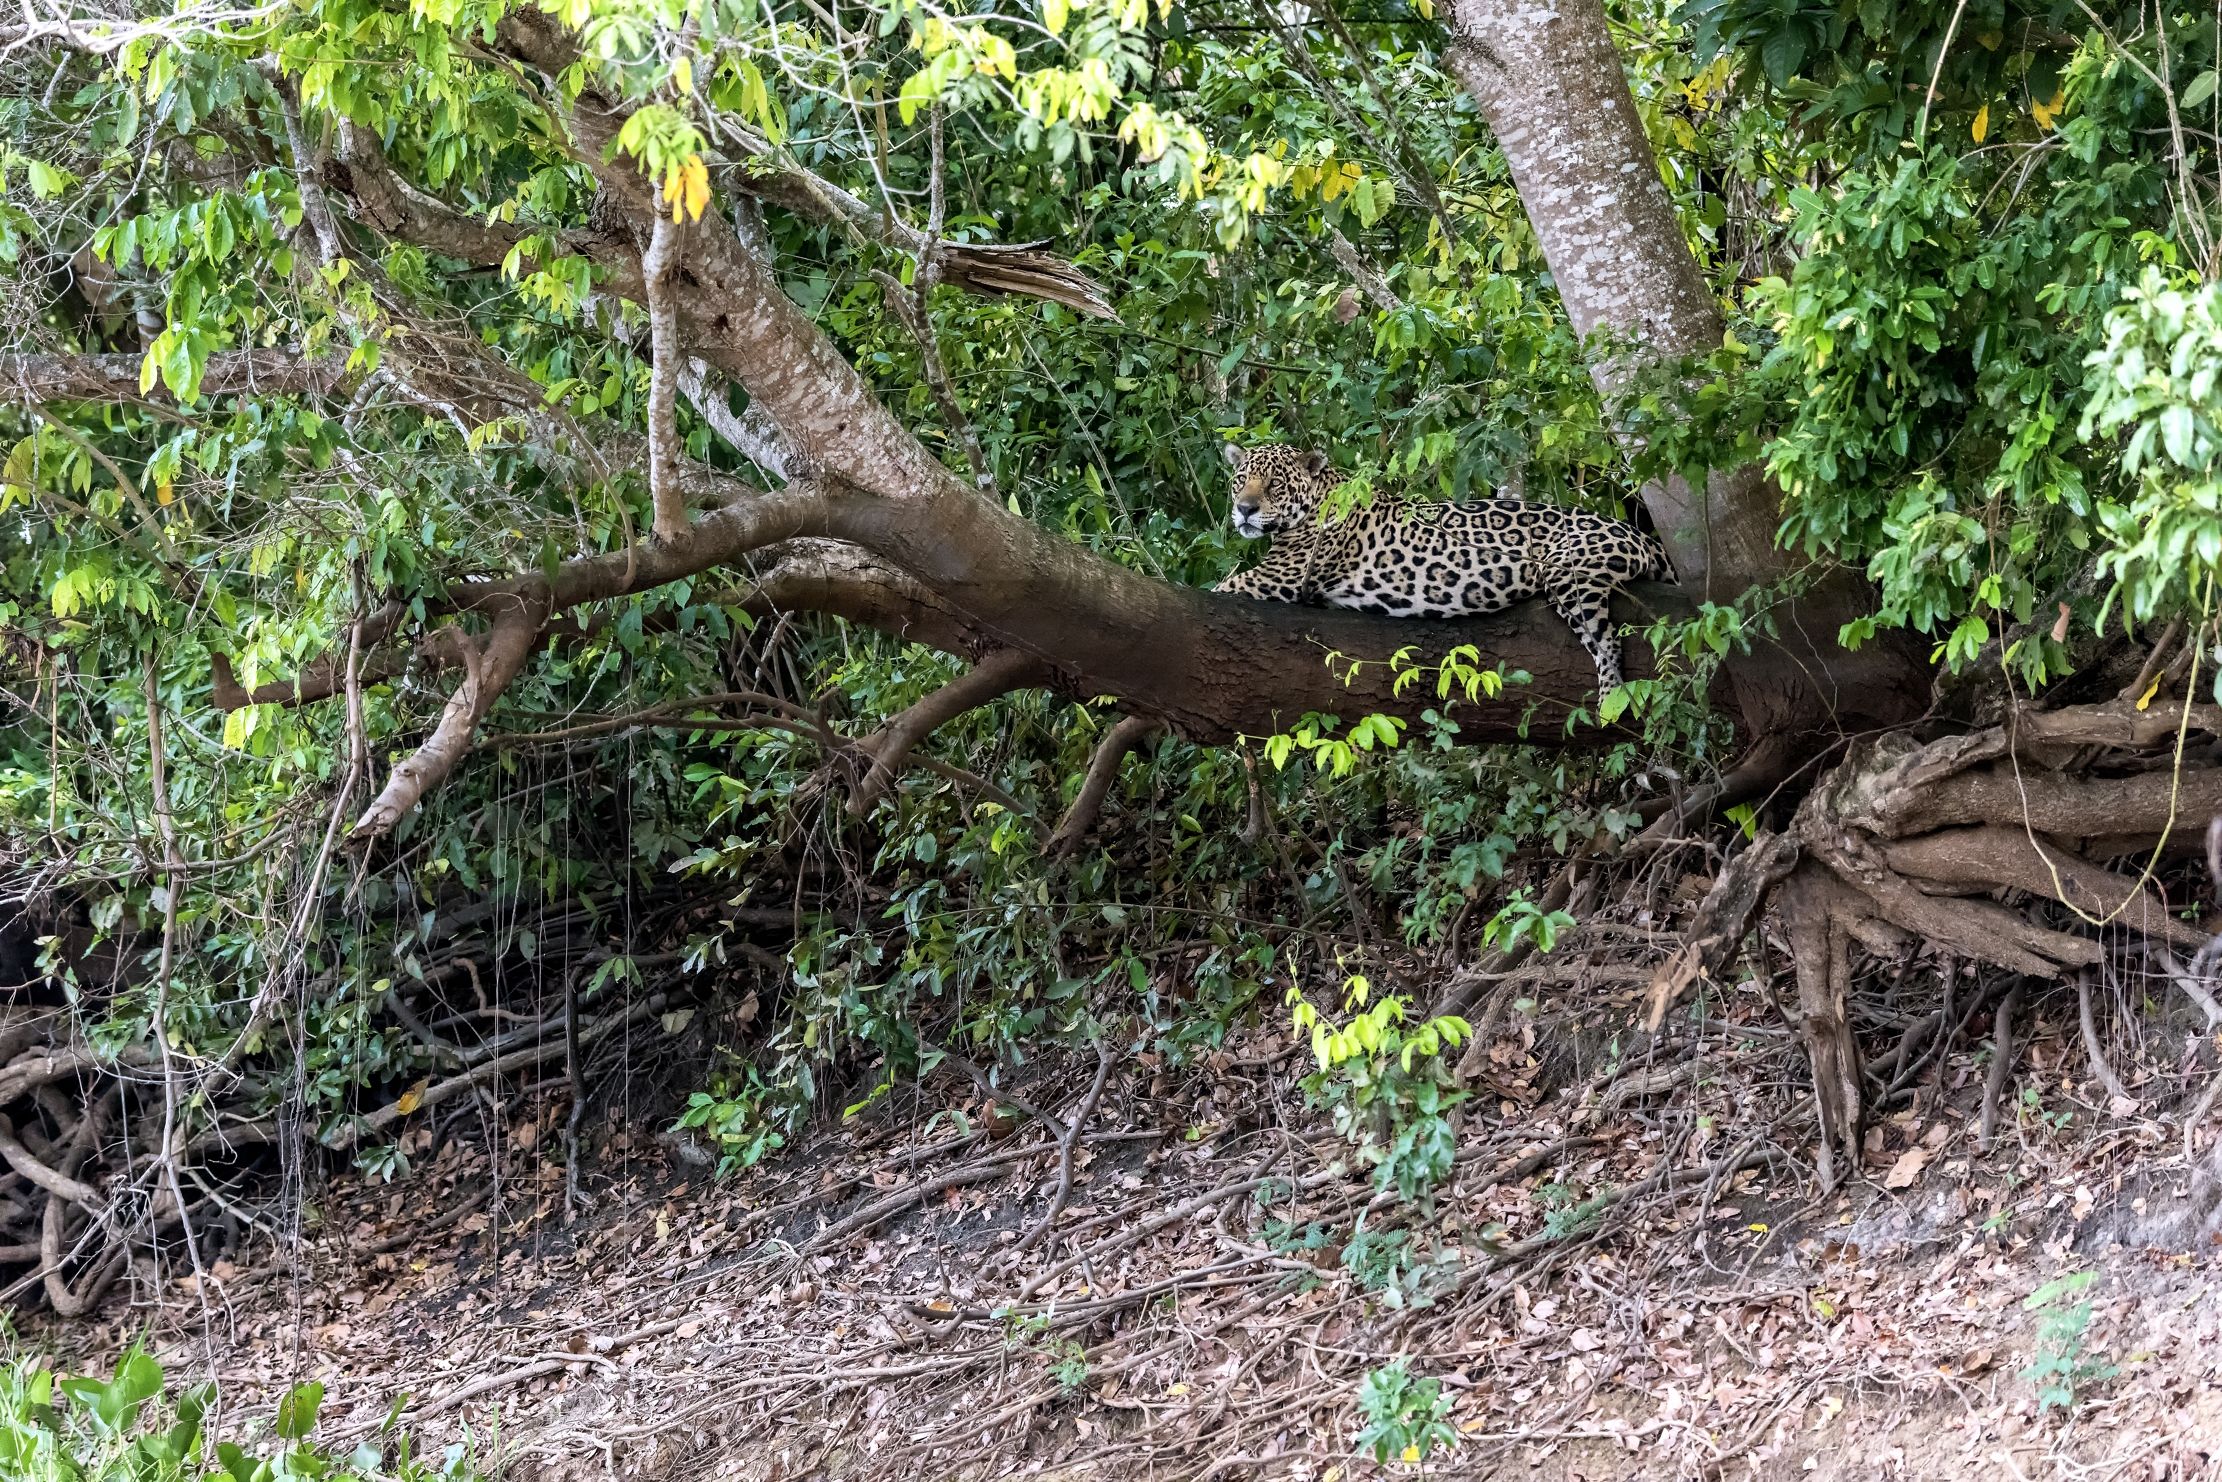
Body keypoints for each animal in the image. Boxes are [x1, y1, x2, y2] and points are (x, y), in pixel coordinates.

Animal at [1211, 442, 1673, 692]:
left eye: (1275, 485)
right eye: (1240, 481)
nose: (1244, 510)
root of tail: (1634, 531)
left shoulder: (1281, 576)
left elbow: (1221, 586)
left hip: (1569, 574)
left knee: (1607, 641)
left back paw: (1610, 698)